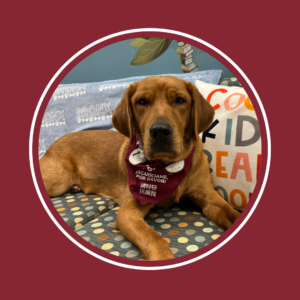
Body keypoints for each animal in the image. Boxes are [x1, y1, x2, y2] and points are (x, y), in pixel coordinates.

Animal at [40, 75, 241, 260]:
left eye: (179, 100)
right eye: (142, 102)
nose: (160, 130)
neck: (167, 166)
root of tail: (53, 144)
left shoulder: (208, 197)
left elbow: (232, 214)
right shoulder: (128, 212)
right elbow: (155, 239)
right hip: (58, 181)